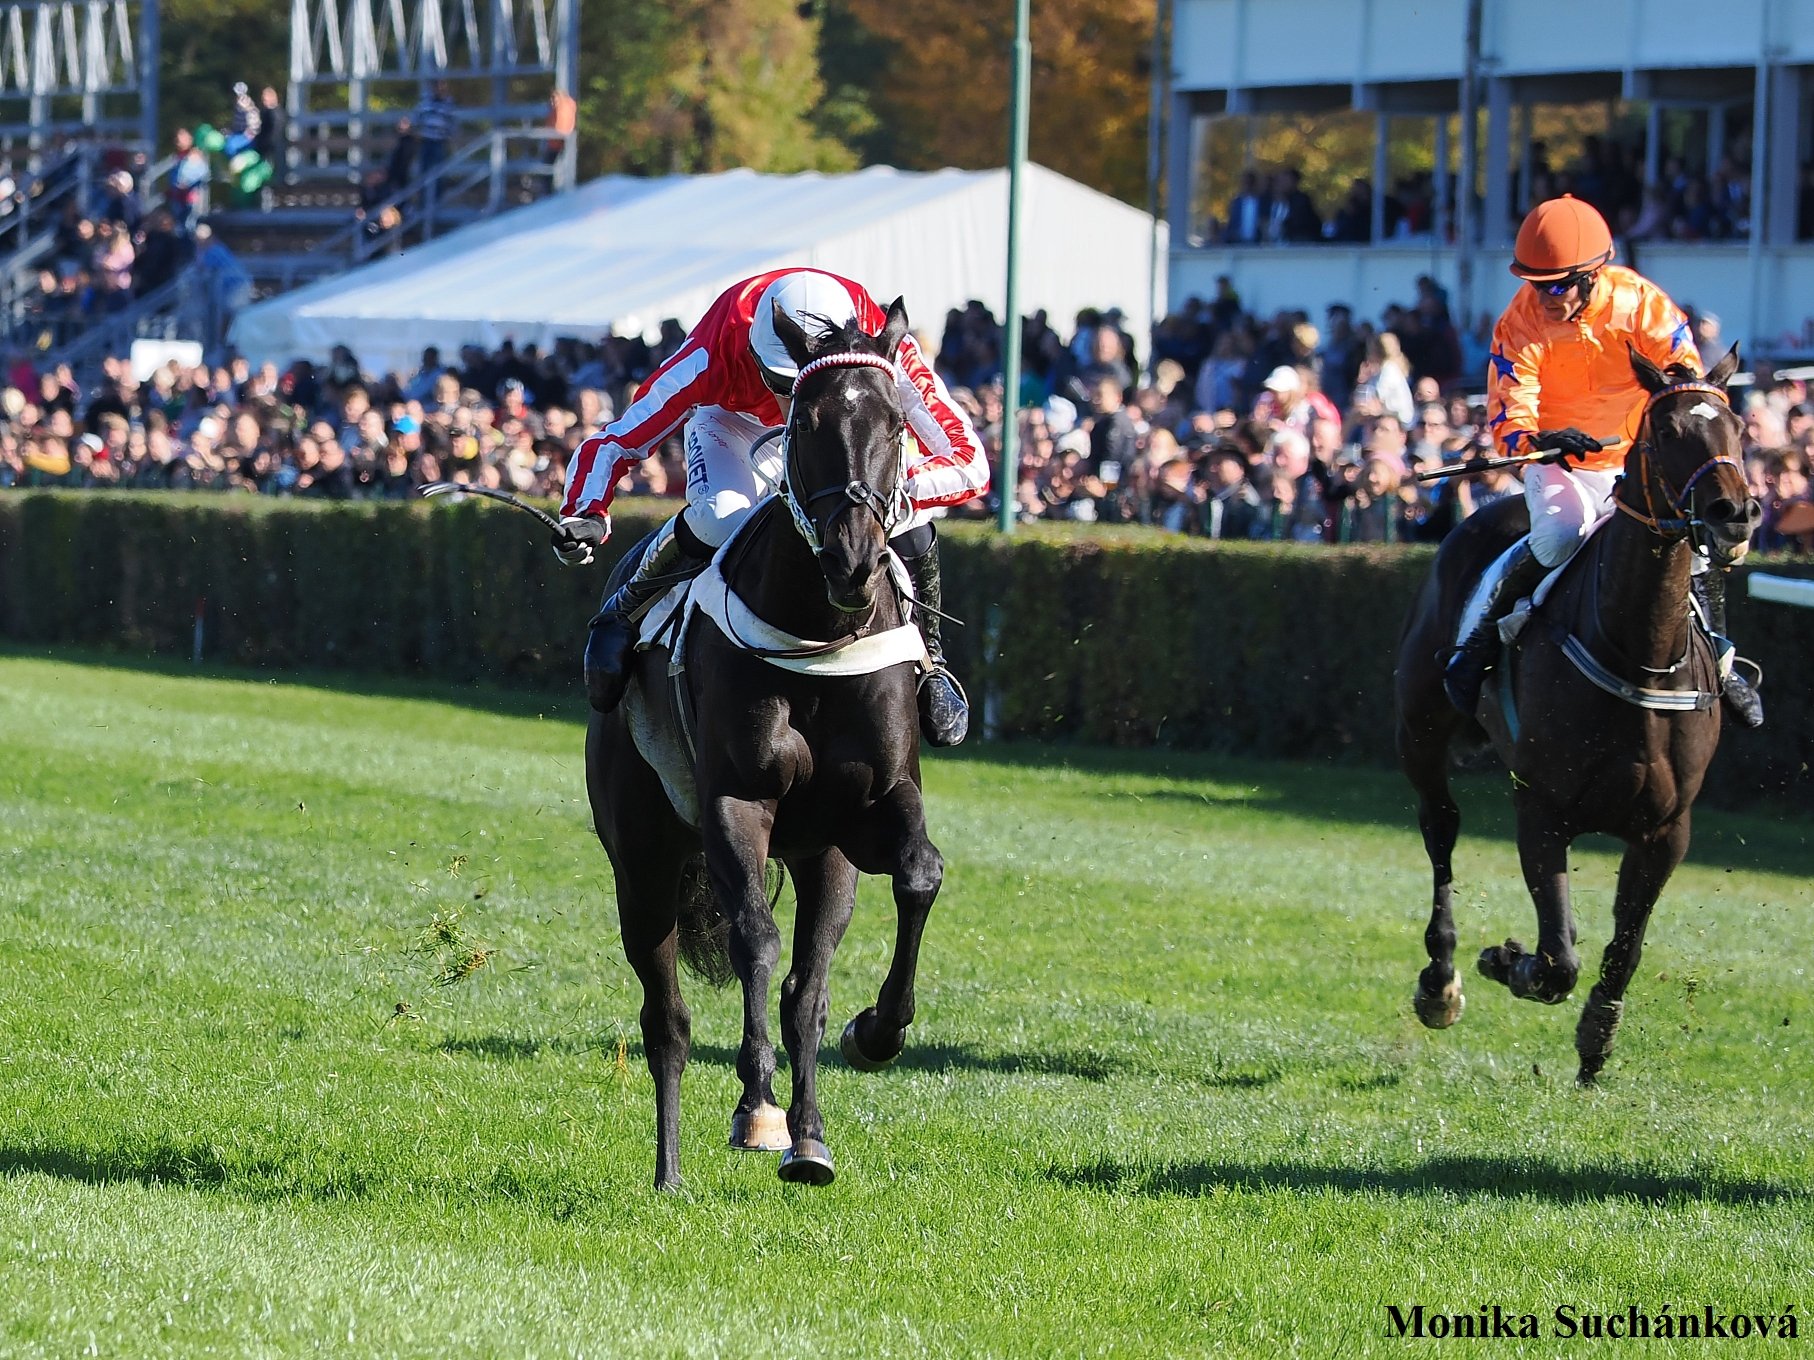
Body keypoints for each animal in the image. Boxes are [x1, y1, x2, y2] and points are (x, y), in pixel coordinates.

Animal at [587, 301, 943, 1189]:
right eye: (806, 422)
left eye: (896, 423)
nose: (853, 559)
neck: (819, 636)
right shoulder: (734, 803)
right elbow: (755, 936)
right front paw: (755, 1105)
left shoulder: (874, 807)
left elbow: (917, 878)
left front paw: (876, 1034)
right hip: (643, 861)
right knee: (667, 1020)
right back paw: (670, 1173)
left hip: (823, 857)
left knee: (804, 991)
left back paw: (810, 1139)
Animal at [1393, 348, 1763, 1088]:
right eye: (1667, 431)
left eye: (1737, 425)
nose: (1733, 513)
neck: (1638, 653)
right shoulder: (1543, 810)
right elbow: (1558, 957)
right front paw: (1505, 960)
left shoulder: (1665, 830)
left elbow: (1624, 949)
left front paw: (1597, 1043)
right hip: (1420, 728)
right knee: (1440, 829)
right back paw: (1440, 980)